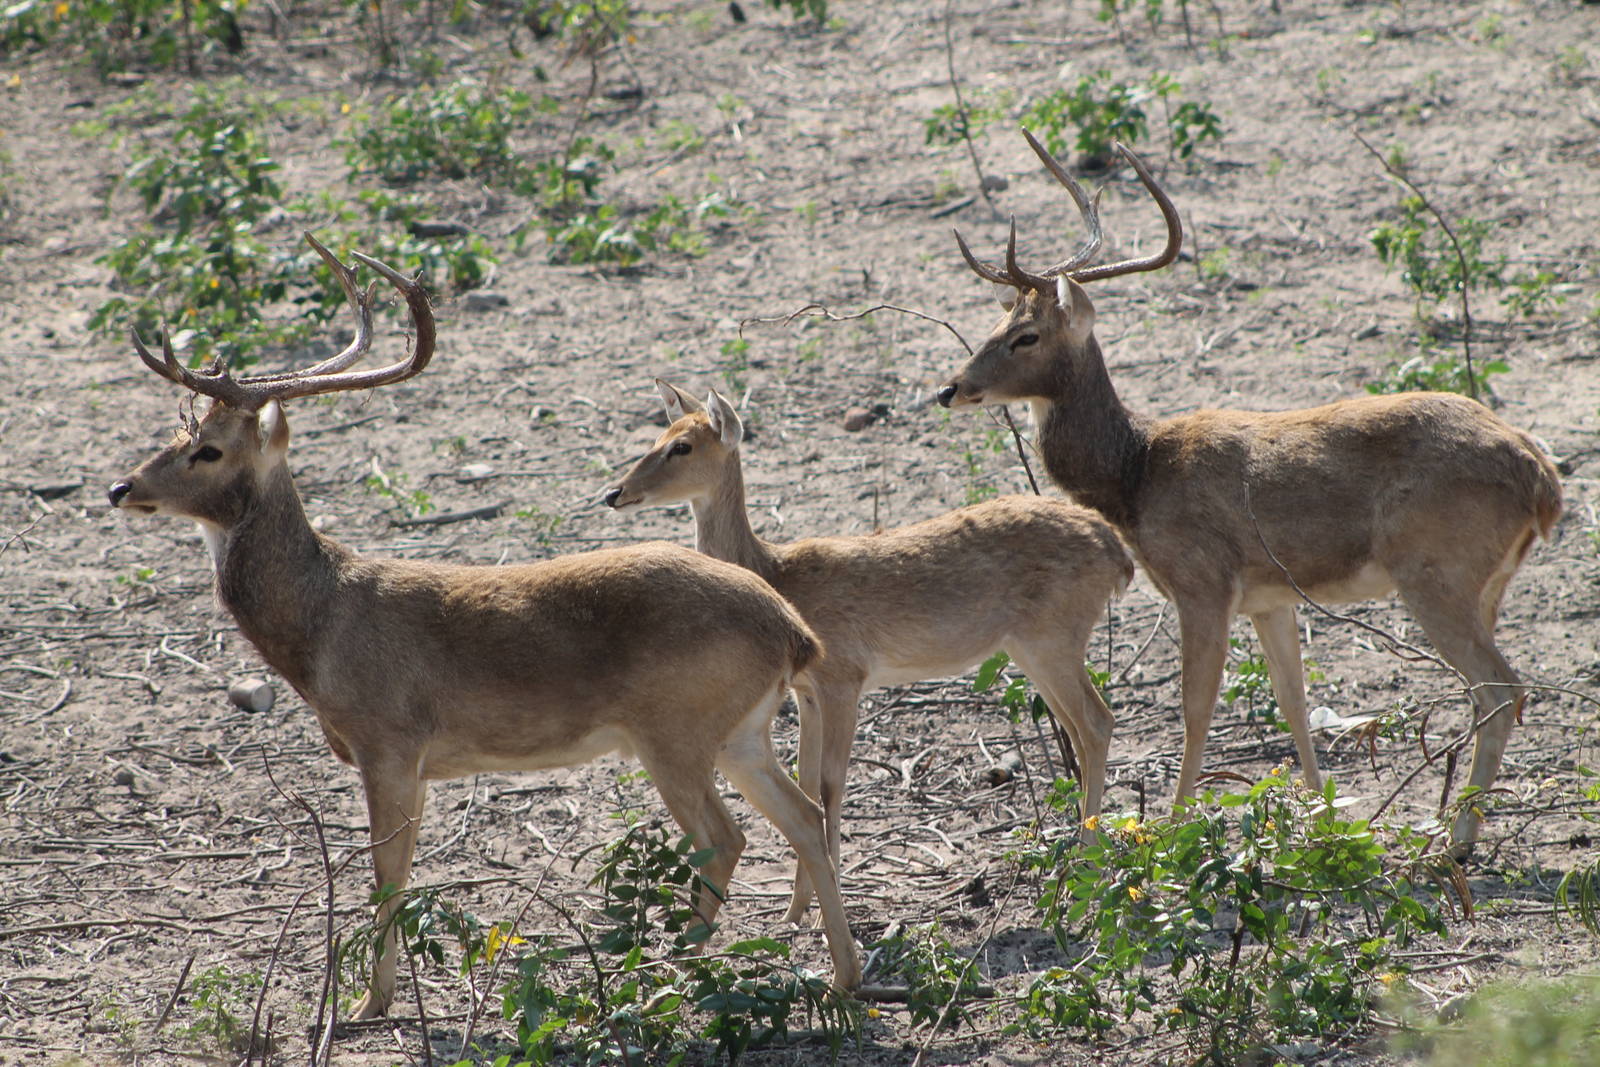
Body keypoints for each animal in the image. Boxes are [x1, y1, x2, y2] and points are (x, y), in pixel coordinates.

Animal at [107, 235, 862, 1020]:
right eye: (176, 431)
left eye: (208, 449)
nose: (122, 487)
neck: (321, 628)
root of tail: (792, 629)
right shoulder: (413, 761)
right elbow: (402, 870)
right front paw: (380, 995)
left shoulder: (390, 740)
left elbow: (386, 875)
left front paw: (368, 1003)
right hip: (741, 730)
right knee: (805, 816)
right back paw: (845, 976)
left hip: (674, 728)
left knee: (726, 836)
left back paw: (670, 975)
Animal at [603, 380, 1134, 919]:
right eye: (660, 432)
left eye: (683, 445)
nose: (614, 493)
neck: (777, 573)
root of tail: (1117, 551)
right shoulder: (807, 692)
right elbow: (806, 779)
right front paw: (794, 911)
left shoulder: (844, 677)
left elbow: (829, 785)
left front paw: (825, 909)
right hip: (1032, 650)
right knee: (1081, 728)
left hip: (1052, 642)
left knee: (1098, 721)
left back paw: (1083, 869)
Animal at [935, 130, 1563, 852]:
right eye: (998, 321)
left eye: (1026, 335)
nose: (951, 387)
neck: (1137, 474)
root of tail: (1542, 478)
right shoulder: (1270, 597)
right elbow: (1294, 701)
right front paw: (1322, 819)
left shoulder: (1203, 581)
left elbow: (1195, 707)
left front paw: (1174, 827)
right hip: (1487, 582)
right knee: (1493, 691)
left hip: (1435, 570)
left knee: (1500, 689)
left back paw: (1456, 841)